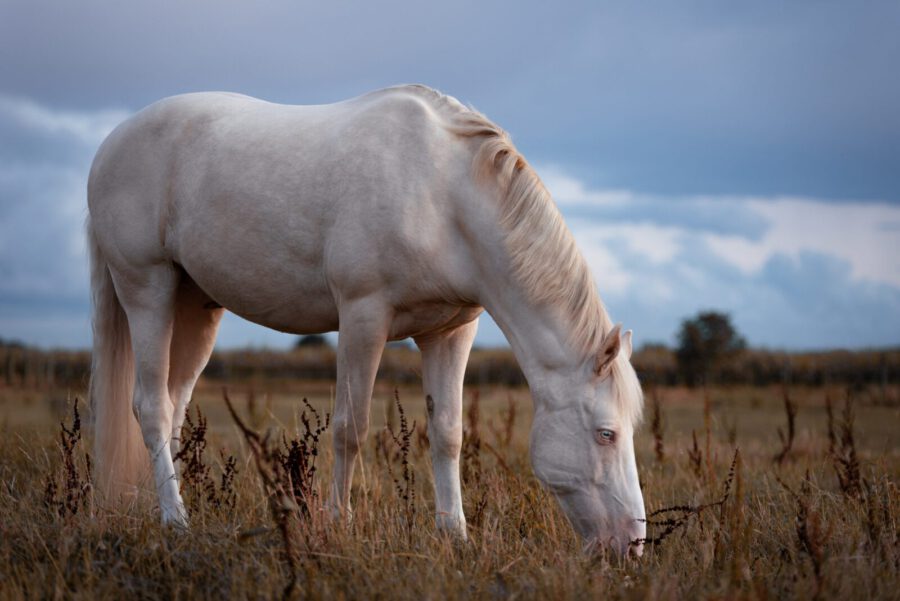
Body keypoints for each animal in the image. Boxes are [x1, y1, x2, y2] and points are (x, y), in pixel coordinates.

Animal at [89, 83, 648, 552]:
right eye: (606, 433)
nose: (632, 546)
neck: (442, 194)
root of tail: (110, 145)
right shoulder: (363, 316)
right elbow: (349, 428)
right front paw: (339, 524)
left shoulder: (451, 332)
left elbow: (448, 432)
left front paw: (455, 534)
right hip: (147, 289)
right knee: (151, 406)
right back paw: (174, 520)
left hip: (196, 306)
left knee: (174, 406)